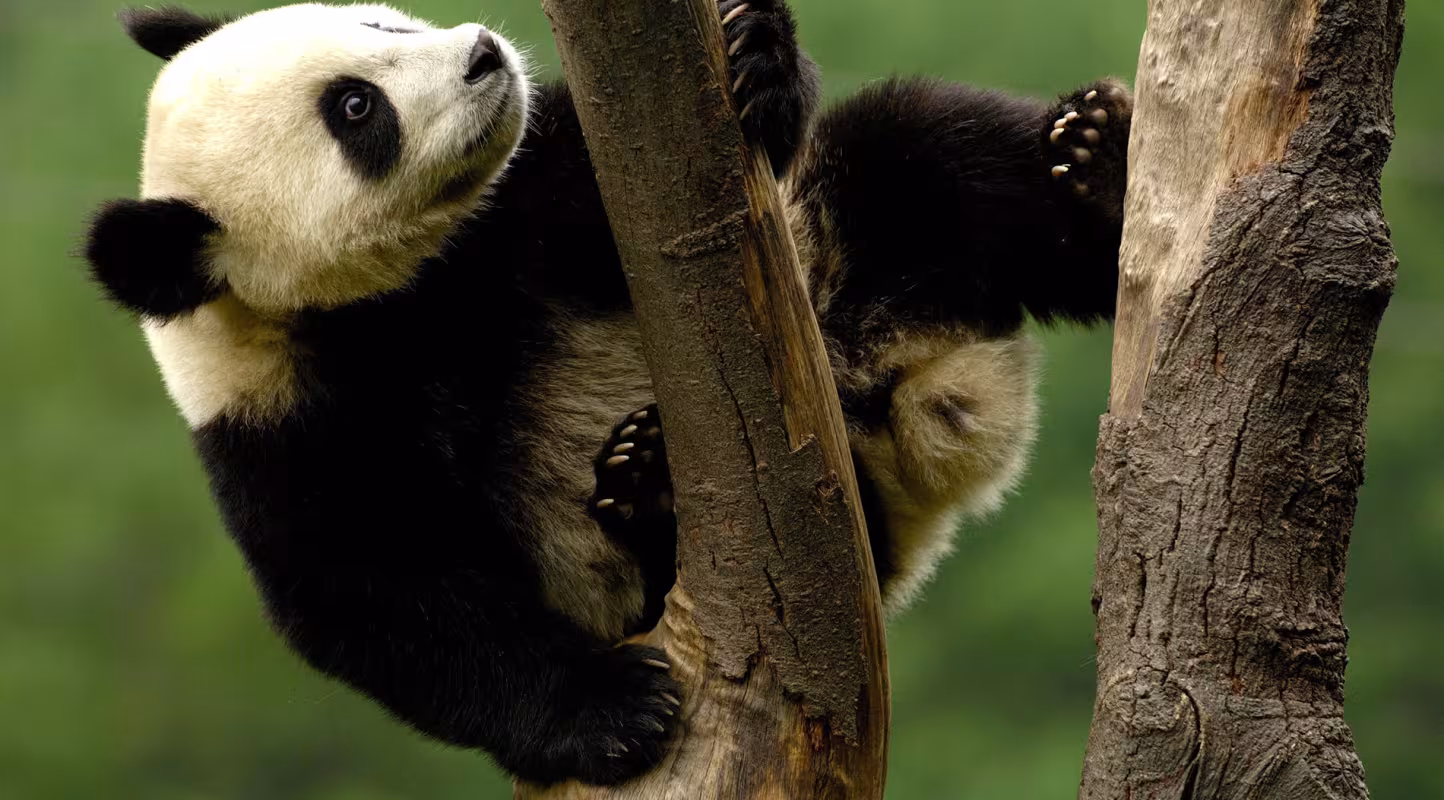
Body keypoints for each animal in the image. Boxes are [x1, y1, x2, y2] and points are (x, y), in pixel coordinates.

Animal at [83, 0, 1131, 786]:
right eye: (355, 109)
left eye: (376, 22)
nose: (484, 55)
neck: (403, 290)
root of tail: (912, 405)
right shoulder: (291, 422)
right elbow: (377, 597)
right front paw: (616, 710)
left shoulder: (526, 201)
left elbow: (625, 188)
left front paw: (755, 52)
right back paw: (648, 486)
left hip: (832, 240)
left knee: (928, 153)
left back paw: (1100, 173)